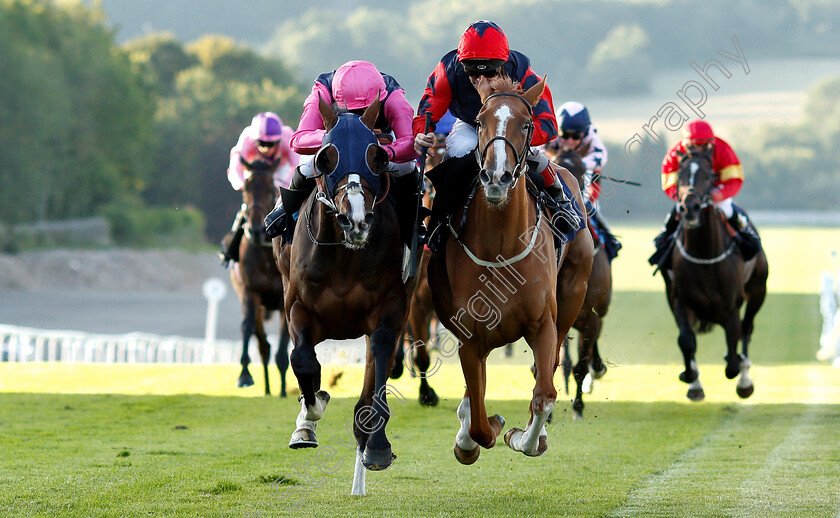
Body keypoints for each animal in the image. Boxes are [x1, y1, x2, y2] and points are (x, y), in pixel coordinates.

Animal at [231, 170, 290, 398]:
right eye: (245, 190)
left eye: (269, 190)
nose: (256, 229)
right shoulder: (250, 292)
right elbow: (247, 326)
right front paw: (244, 376)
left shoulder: (285, 298)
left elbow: (285, 339)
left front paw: (283, 391)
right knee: (263, 345)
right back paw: (265, 388)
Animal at [272, 95, 414, 498]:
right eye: (325, 156)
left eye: (376, 155)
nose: (357, 220)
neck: (345, 255)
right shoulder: (298, 307)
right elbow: (303, 361)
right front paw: (309, 417)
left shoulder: (390, 308)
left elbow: (379, 363)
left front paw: (377, 445)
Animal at [430, 77, 592, 464]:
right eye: (480, 120)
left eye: (527, 123)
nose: (496, 177)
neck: (502, 245)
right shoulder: (471, 336)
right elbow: (478, 421)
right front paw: (476, 436)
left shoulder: (543, 322)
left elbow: (544, 395)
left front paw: (524, 438)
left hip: (573, 294)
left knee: (549, 366)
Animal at [664, 148, 768, 404]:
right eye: (680, 174)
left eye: (708, 175)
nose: (689, 208)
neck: (704, 257)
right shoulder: (680, 299)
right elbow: (686, 340)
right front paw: (691, 378)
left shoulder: (731, 308)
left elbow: (733, 350)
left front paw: (739, 372)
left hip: (758, 291)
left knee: (747, 328)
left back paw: (745, 379)